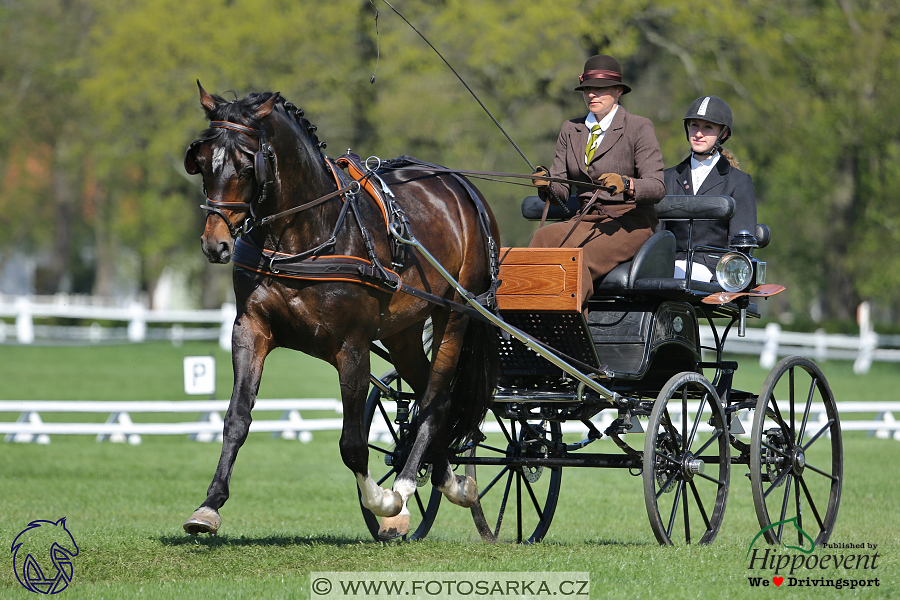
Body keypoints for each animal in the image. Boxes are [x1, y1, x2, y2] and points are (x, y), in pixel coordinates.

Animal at [182, 84, 500, 540]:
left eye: (246, 165)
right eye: (204, 162)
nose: (215, 244)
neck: (303, 236)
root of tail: (460, 185)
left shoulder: (352, 346)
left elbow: (351, 442)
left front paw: (383, 501)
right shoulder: (250, 330)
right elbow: (236, 419)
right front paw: (209, 506)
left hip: (456, 315)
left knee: (437, 399)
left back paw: (408, 484)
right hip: (402, 332)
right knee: (428, 394)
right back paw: (446, 479)